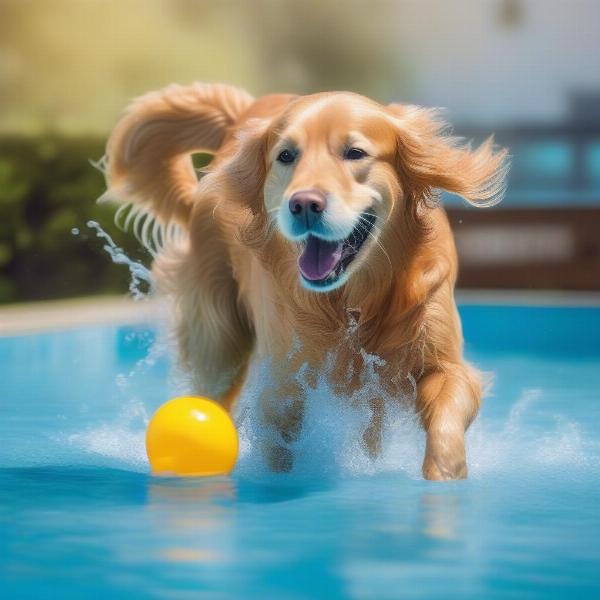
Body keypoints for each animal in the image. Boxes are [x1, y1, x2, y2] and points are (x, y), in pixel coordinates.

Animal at [103, 83, 506, 478]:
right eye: (285, 156)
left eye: (355, 153)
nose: (305, 205)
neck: (353, 303)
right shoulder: (283, 387)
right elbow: (279, 447)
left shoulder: (442, 363)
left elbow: (446, 420)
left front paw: (442, 476)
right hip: (218, 342)